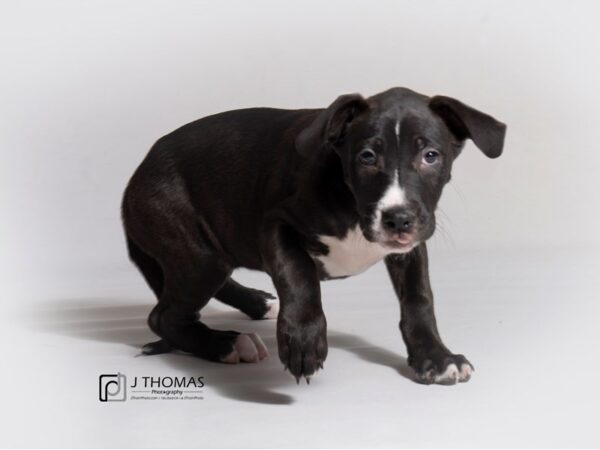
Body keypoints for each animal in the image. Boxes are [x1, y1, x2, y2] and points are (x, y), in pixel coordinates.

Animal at [123, 89, 506, 386]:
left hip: (209, 254)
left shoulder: (411, 245)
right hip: (198, 254)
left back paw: (258, 305)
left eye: (431, 156)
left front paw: (436, 357)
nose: (398, 220)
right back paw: (227, 345)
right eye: (367, 156)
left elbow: (419, 299)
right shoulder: (274, 224)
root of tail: (133, 182)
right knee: (164, 317)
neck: (353, 205)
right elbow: (300, 274)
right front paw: (304, 341)